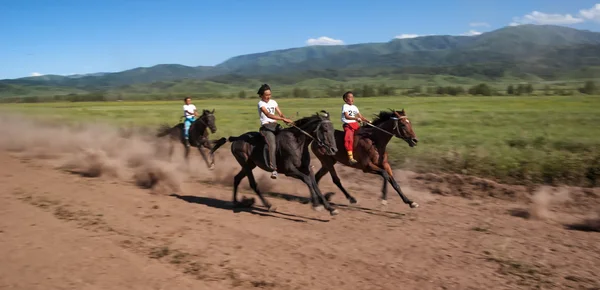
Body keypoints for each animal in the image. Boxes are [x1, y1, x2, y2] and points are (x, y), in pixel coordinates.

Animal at [211, 111, 342, 215]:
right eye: (325, 130)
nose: (334, 150)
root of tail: (236, 138)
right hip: (245, 163)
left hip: (250, 164)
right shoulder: (290, 171)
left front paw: (330, 208)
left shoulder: (307, 169)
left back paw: (235, 201)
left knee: (237, 178)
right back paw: (269, 205)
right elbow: (308, 181)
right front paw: (316, 205)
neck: (297, 143)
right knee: (253, 184)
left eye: (333, 130)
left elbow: (315, 184)